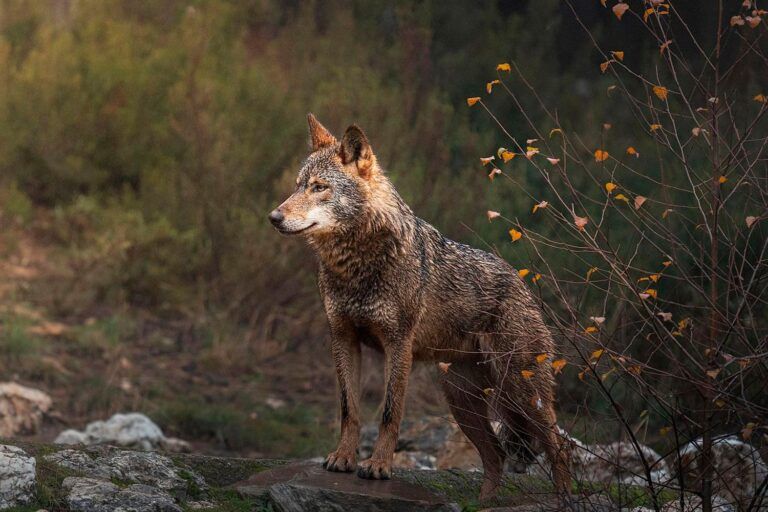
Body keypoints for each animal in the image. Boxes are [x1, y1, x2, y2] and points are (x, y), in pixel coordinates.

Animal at [268, 114, 570, 499]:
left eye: (319, 187)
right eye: (297, 186)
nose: (274, 217)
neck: (356, 263)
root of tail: (522, 284)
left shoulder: (398, 345)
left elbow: (389, 412)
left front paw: (379, 466)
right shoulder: (343, 339)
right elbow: (349, 409)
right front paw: (343, 458)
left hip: (521, 390)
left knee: (558, 446)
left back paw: (565, 500)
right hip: (463, 401)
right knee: (496, 456)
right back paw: (483, 504)